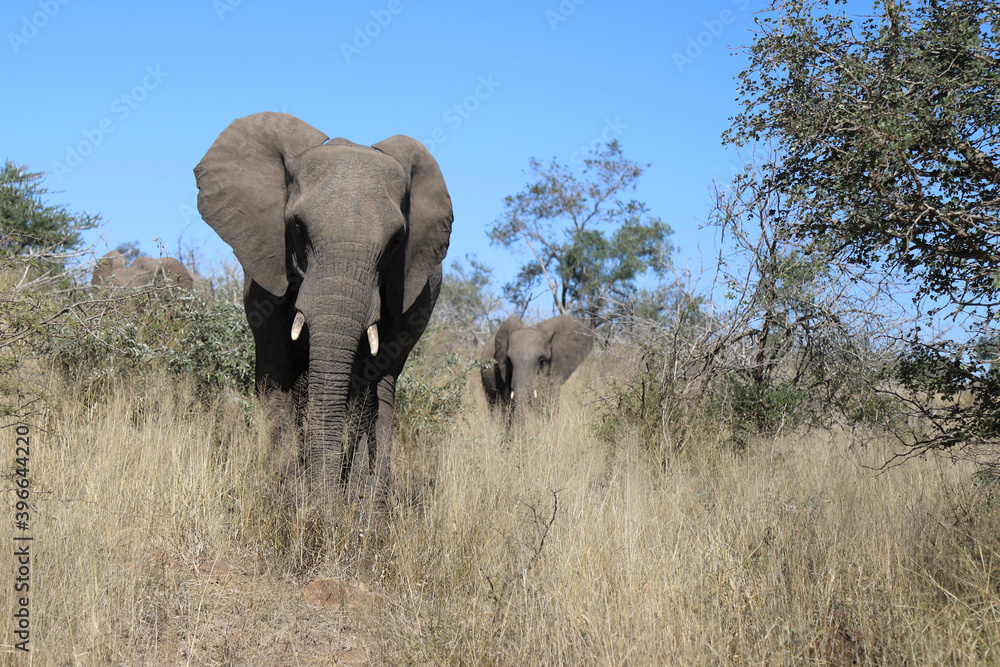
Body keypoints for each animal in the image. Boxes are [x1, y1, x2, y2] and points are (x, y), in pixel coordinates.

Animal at [194, 112, 453, 504]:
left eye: (395, 242)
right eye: (298, 229)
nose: (323, 503)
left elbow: (366, 382)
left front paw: (352, 503)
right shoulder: (268, 275)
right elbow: (276, 372)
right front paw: (287, 491)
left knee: (385, 387)